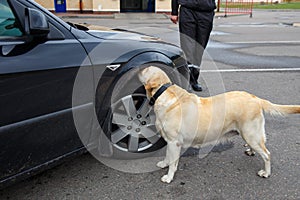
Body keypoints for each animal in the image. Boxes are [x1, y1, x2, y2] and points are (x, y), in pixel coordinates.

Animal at [138, 65, 300, 183]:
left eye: (145, 69)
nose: (138, 67)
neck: (163, 93)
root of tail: (256, 99)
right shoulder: (170, 142)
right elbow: (167, 156)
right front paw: (163, 164)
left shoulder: (174, 142)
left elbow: (173, 162)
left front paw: (169, 177)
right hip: (249, 134)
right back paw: (251, 151)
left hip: (251, 134)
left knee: (267, 154)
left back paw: (266, 173)